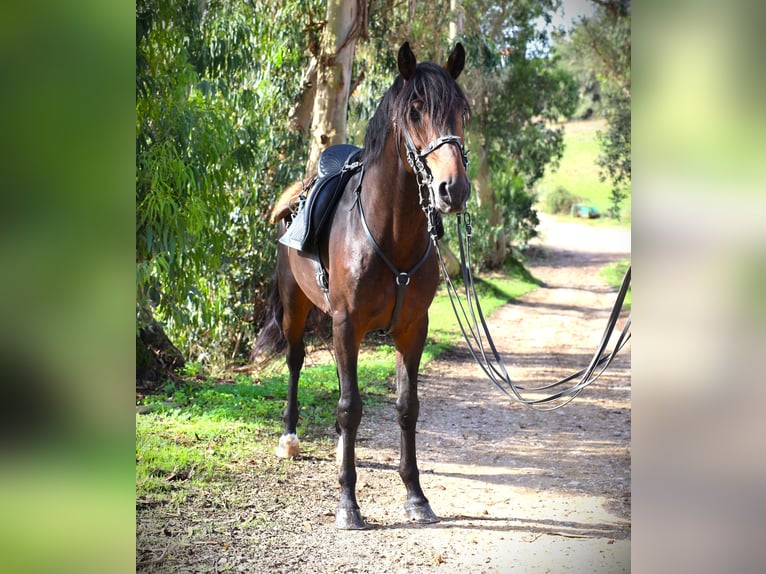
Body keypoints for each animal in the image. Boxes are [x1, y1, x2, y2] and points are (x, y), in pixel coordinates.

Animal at [255, 42, 472, 532]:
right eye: (415, 110)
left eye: (462, 111)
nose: (453, 190)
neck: (389, 232)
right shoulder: (346, 323)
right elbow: (351, 407)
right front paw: (348, 503)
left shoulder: (412, 329)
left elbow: (406, 406)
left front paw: (415, 496)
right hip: (297, 309)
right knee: (296, 362)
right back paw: (290, 437)